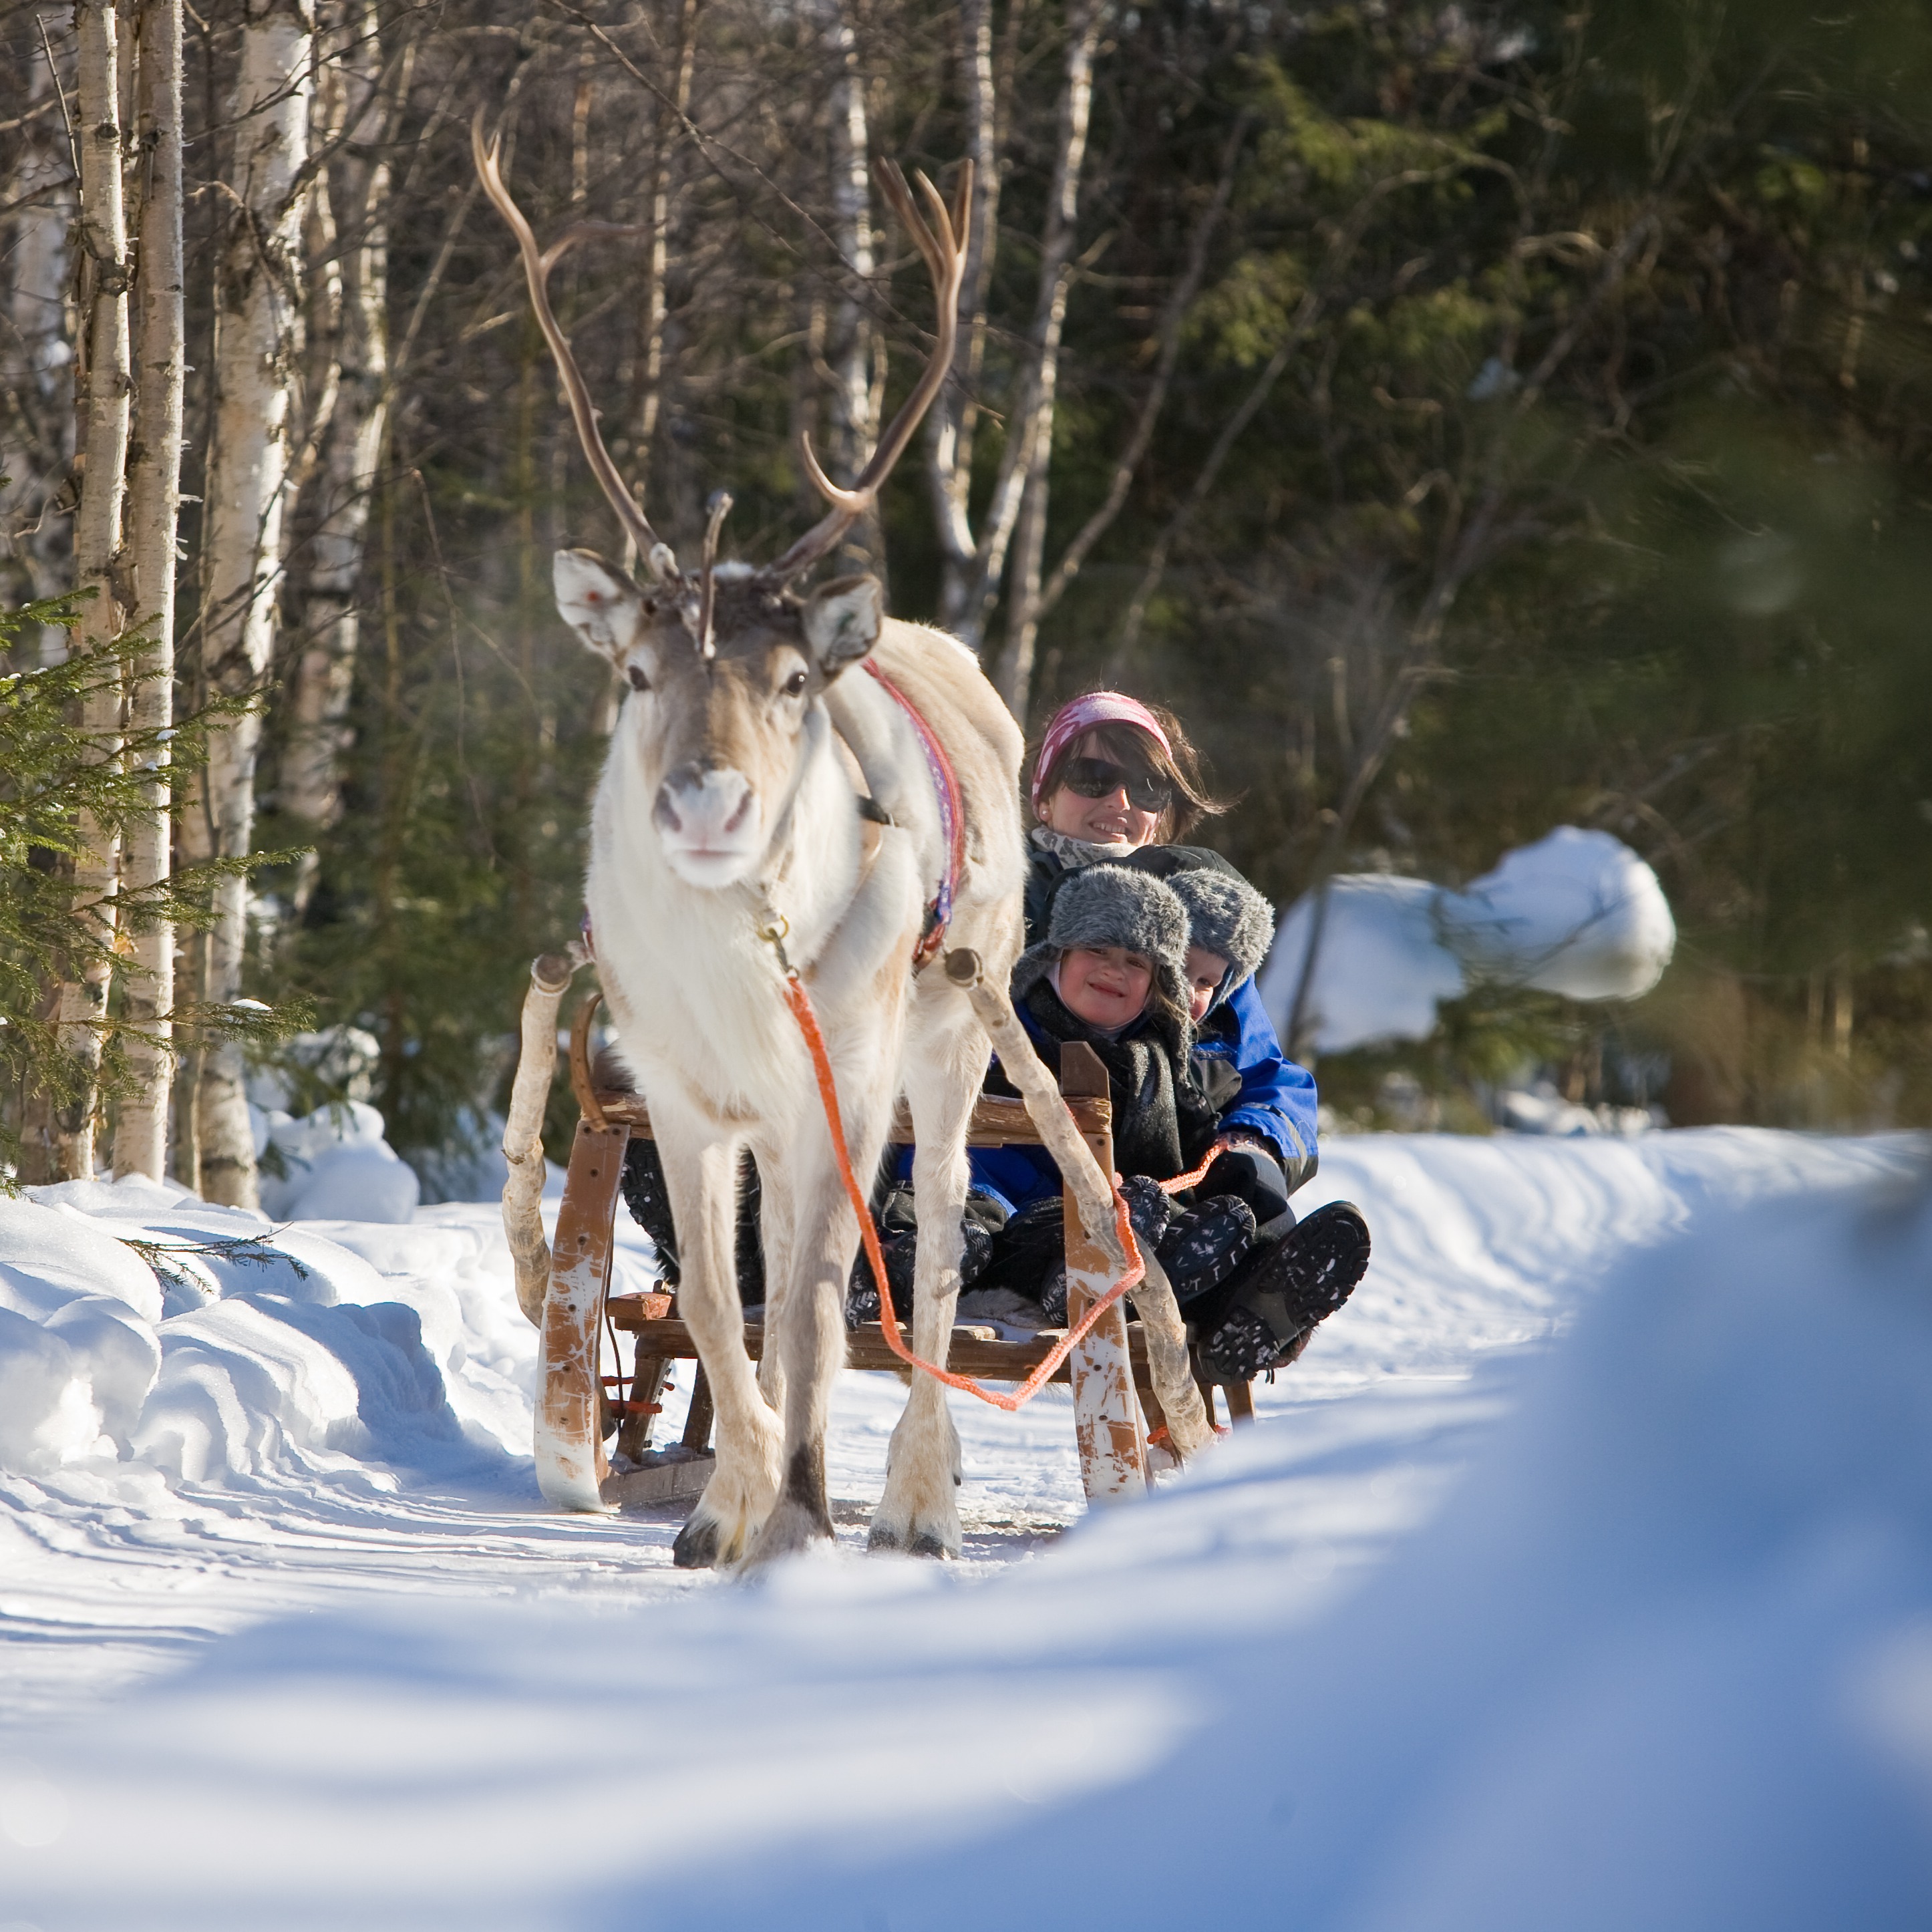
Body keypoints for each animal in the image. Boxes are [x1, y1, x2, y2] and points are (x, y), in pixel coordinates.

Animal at [473, 118, 1034, 1570]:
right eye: (633, 673)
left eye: (789, 682)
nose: (706, 803)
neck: (737, 975)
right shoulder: (683, 1092)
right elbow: (724, 1314)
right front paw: (723, 1507)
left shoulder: (842, 1079)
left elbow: (820, 1310)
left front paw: (794, 1517)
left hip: (950, 1041)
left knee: (933, 1252)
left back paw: (912, 1501)